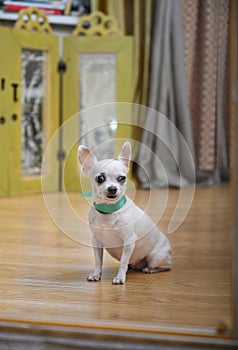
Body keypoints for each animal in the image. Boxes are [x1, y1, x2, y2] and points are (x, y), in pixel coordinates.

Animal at [79, 140, 172, 284]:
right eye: (100, 178)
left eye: (122, 178)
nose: (112, 188)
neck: (109, 211)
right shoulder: (97, 242)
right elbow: (98, 261)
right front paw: (96, 274)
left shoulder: (128, 242)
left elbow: (123, 262)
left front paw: (120, 277)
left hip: (155, 257)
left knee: (166, 266)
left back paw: (149, 269)